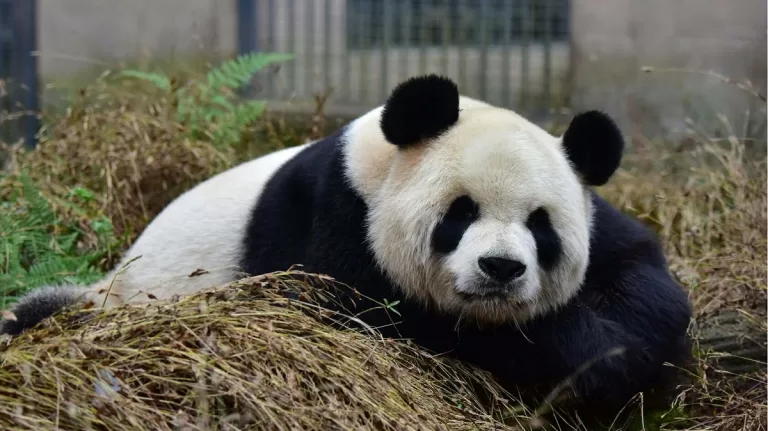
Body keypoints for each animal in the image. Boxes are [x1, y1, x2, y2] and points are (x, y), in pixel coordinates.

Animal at [1, 75, 692, 423]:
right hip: (119, 298)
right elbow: (359, 321)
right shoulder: (335, 217)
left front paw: (611, 353)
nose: (500, 268)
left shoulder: (599, 222)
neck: (378, 168)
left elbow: (646, 282)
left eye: (541, 226)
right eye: (459, 214)